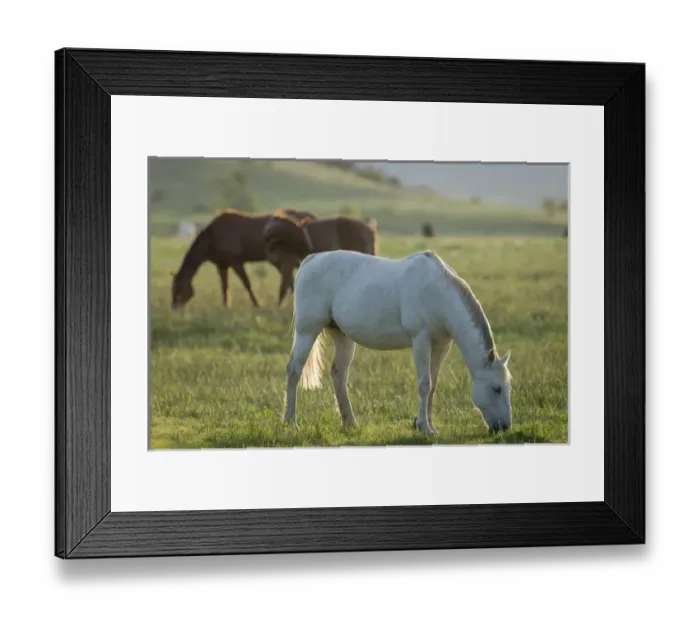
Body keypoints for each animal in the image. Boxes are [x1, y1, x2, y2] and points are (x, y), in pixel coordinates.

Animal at [169, 208, 317, 310]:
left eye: (178, 289)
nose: (174, 308)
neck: (212, 237)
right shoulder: (222, 265)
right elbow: (225, 287)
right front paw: (226, 307)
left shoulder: (236, 262)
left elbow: (247, 284)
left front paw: (257, 305)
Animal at [282, 249, 513, 436]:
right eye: (497, 388)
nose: (504, 427)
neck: (438, 292)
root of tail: (310, 260)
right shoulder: (421, 341)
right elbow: (424, 384)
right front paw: (424, 427)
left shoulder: (441, 346)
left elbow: (433, 385)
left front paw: (428, 424)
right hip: (306, 331)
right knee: (294, 370)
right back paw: (291, 423)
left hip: (342, 336)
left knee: (339, 374)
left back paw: (350, 423)